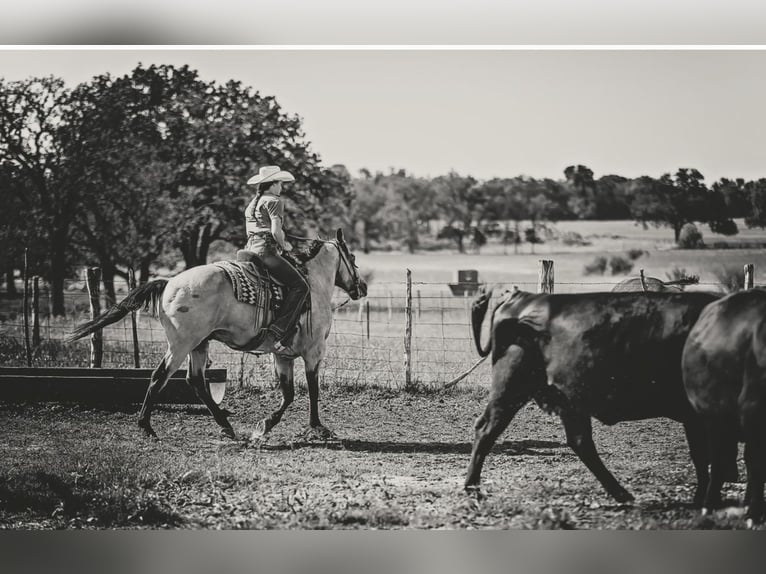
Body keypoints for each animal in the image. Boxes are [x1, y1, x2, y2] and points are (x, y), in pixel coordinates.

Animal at [67, 229, 367, 440]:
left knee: (196, 381)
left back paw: (225, 426)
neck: (312, 284)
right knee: (159, 377)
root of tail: (170, 283)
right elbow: (313, 390)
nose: (362, 287)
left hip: (199, 344)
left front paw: (264, 426)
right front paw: (317, 427)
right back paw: (146, 427)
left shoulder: (282, 356)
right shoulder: (314, 351)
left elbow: (289, 394)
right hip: (181, 344)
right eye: (352, 258)